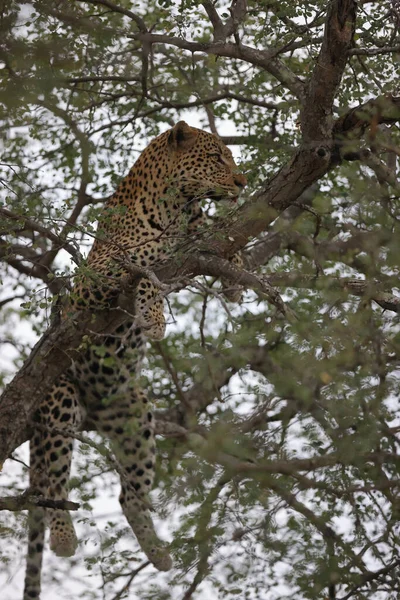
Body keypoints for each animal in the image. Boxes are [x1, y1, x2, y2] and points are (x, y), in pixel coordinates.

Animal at [23, 119, 247, 596]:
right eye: (216, 157)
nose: (241, 183)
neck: (177, 207)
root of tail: (95, 407)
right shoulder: (98, 274)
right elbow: (143, 263)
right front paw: (155, 316)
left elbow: (216, 239)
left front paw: (236, 276)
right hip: (58, 402)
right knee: (51, 483)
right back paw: (64, 537)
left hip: (136, 418)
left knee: (129, 496)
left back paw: (159, 553)